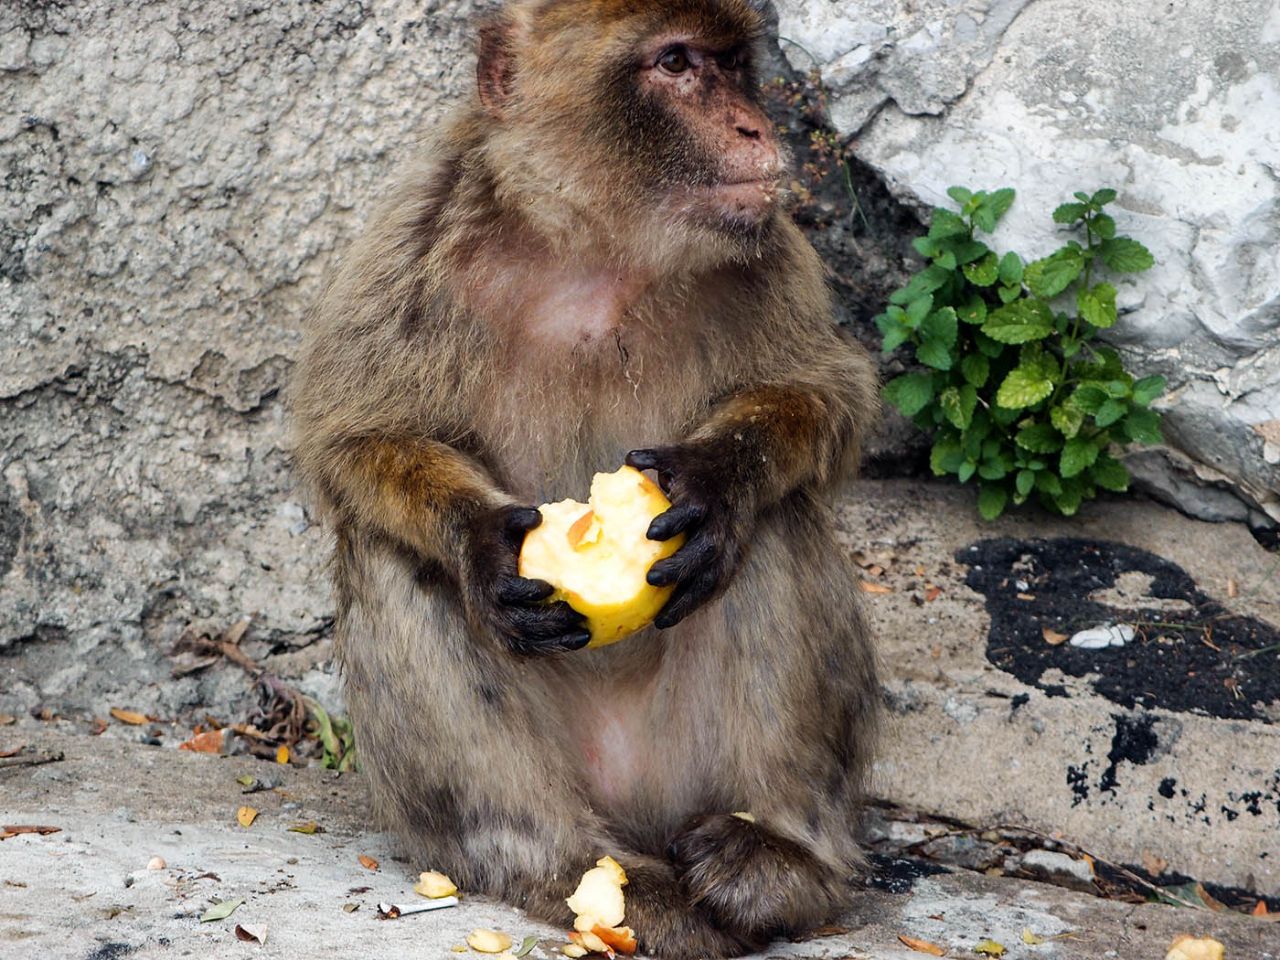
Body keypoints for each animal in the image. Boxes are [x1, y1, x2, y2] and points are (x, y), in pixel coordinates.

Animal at [293, 1, 880, 957]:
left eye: (731, 65)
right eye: (675, 65)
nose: (755, 128)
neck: (596, 245)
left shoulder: (766, 249)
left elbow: (825, 396)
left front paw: (718, 480)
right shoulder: (415, 236)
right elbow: (353, 439)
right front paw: (480, 542)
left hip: (684, 772)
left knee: (774, 527)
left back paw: (779, 857)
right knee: (392, 557)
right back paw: (567, 865)